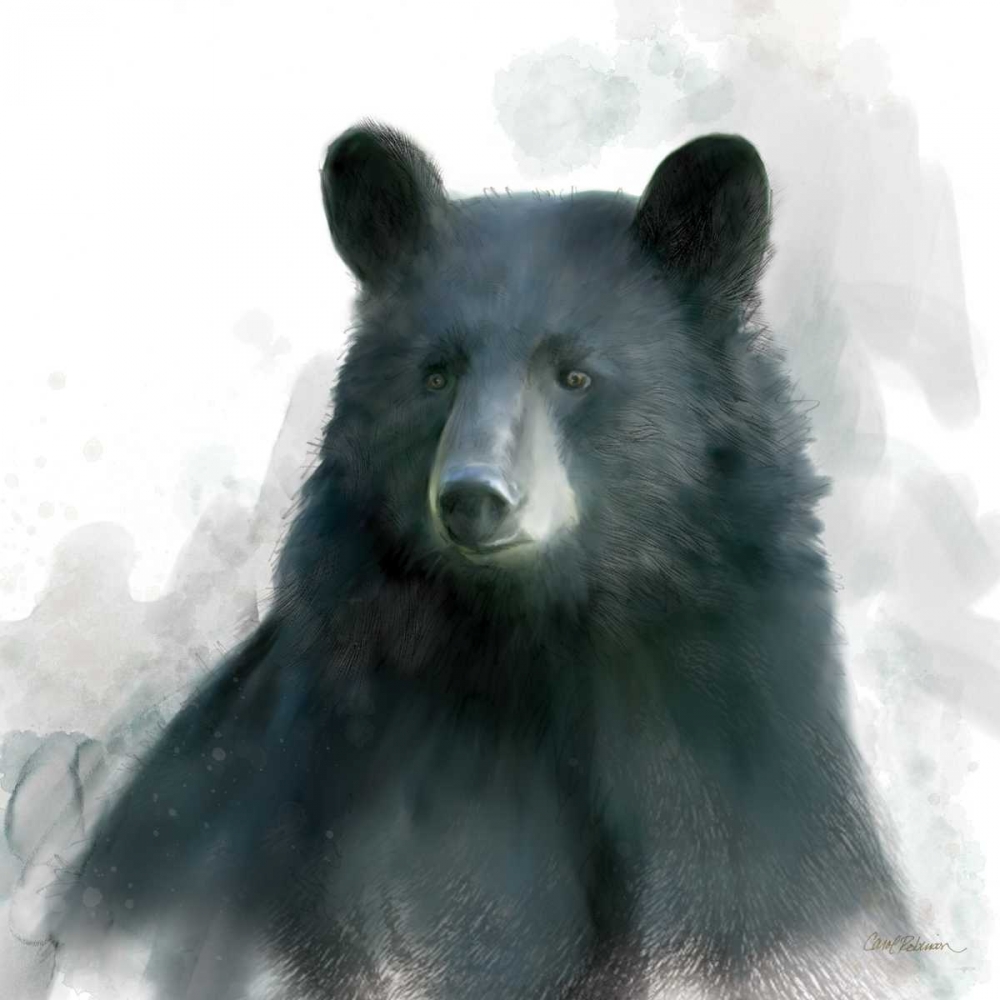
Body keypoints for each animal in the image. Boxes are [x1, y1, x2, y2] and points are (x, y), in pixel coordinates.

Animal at [12, 121, 938, 1000]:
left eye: (576, 374)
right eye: (435, 374)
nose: (473, 496)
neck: (547, 642)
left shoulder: (741, 752)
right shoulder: (373, 787)